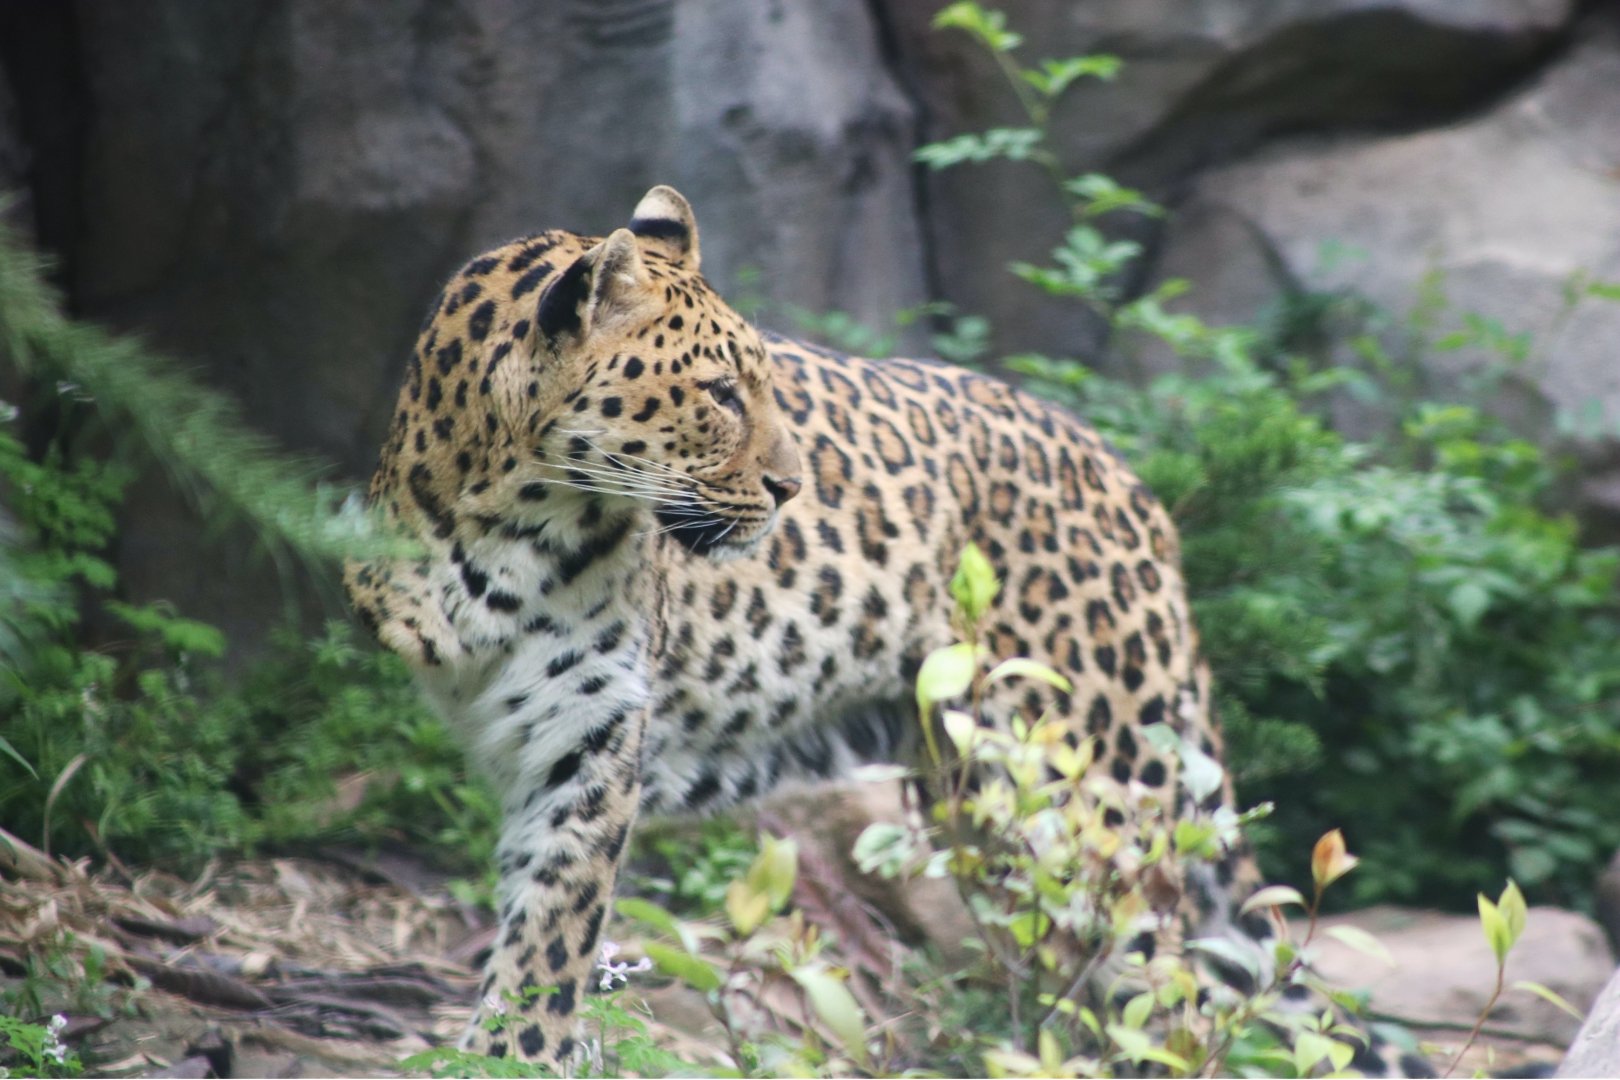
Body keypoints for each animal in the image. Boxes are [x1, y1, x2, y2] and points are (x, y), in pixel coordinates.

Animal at [346, 185, 1263, 1068]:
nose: (792, 488)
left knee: (1167, 991)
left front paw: (515, 1055)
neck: (508, 527)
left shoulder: (589, 733)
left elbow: (552, 933)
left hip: (1083, 788)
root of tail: (1133, 485)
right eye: (720, 393)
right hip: (981, 795)